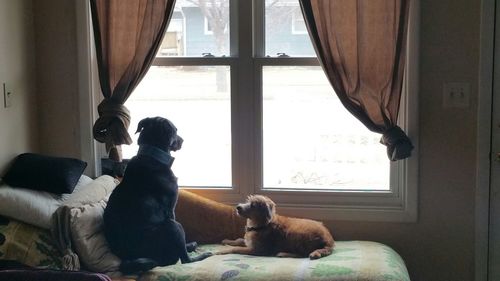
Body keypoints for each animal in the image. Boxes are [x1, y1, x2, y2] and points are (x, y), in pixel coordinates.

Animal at [103, 116, 211, 274]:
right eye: (175, 130)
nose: (183, 140)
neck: (152, 155)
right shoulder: (171, 210)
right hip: (173, 226)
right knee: (185, 259)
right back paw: (201, 254)